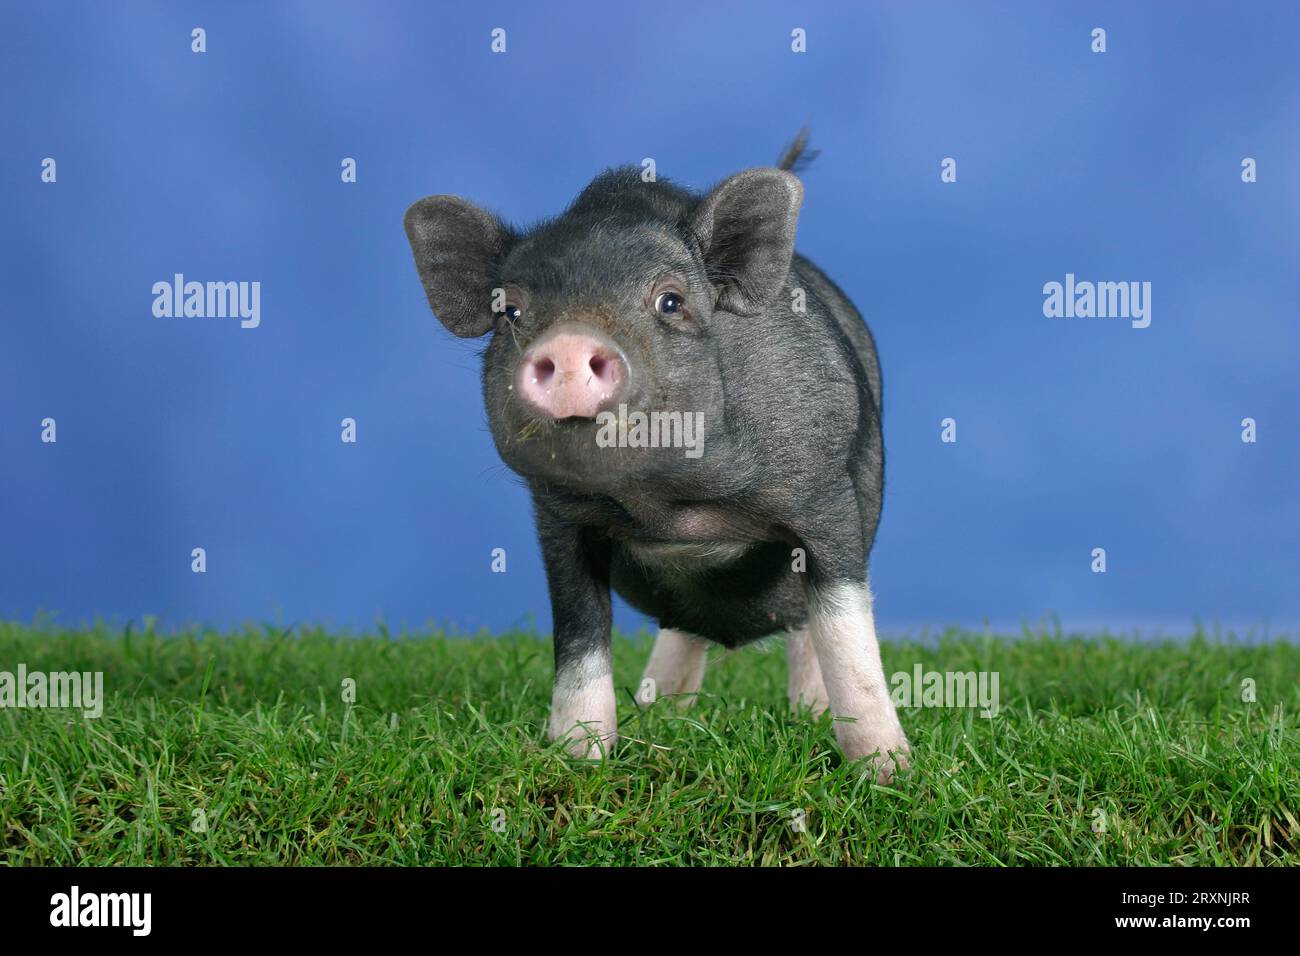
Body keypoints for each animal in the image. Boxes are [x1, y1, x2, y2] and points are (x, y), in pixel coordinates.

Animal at [404, 133, 909, 782]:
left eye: (670, 301)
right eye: (510, 311)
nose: (569, 343)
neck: (669, 505)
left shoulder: (825, 495)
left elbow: (846, 631)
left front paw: (888, 771)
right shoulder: (559, 522)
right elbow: (580, 637)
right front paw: (578, 758)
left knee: (801, 627)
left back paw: (807, 714)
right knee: (682, 629)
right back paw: (662, 709)